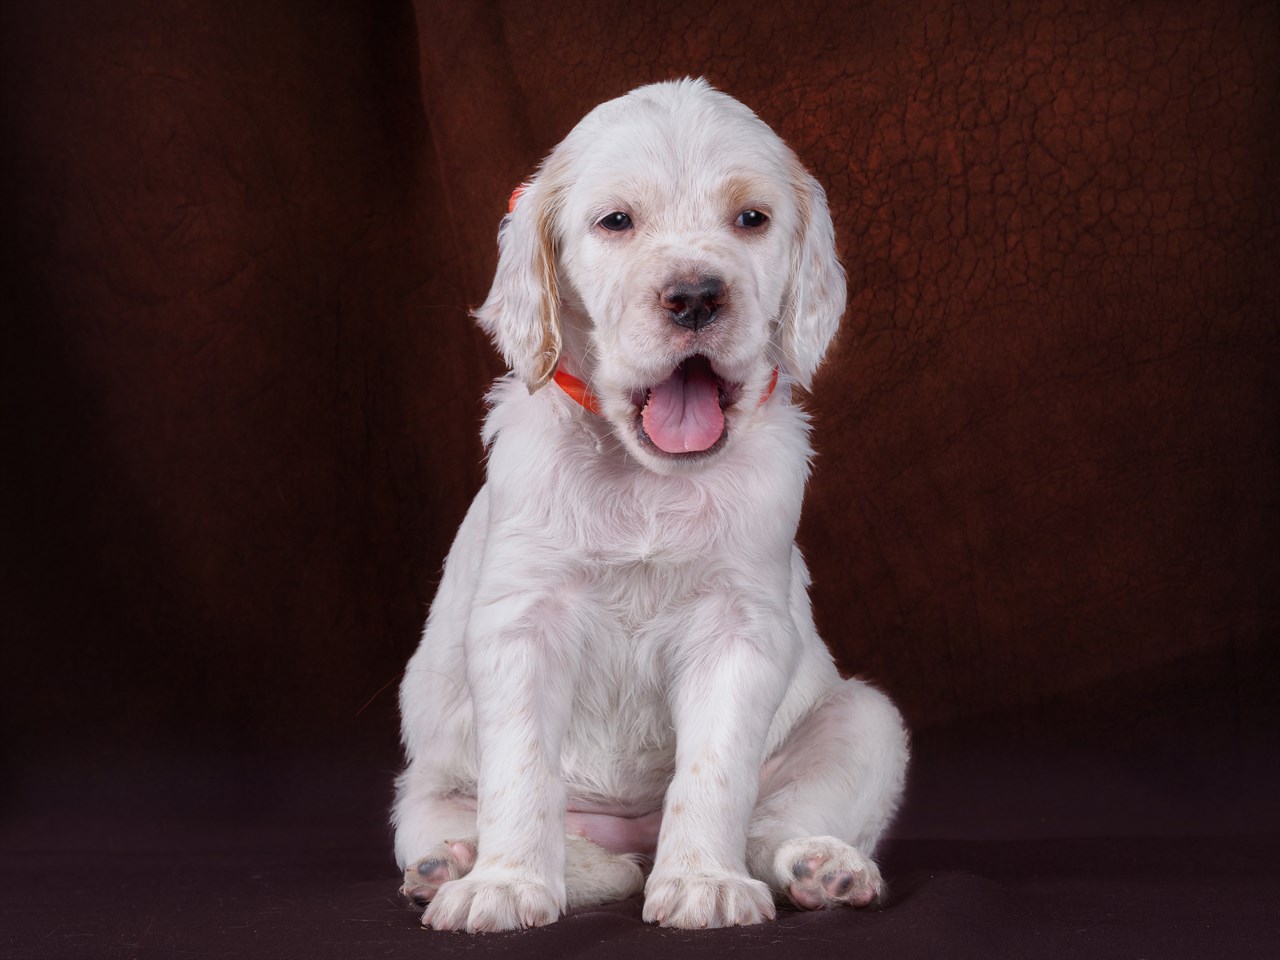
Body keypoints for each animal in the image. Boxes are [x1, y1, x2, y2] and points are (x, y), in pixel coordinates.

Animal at [394, 79, 906, 936]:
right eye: (616, 222)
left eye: (751, 219)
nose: (696, 296)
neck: (646, 482)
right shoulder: (523, 621)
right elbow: (522, 773)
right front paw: (506, 884)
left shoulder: (739, 628)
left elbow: (714, 771)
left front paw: (704, 880)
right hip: (423, 787)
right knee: (511, 837)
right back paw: (457, 866)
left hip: (864, 720)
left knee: (771, 824)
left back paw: (820, 867)